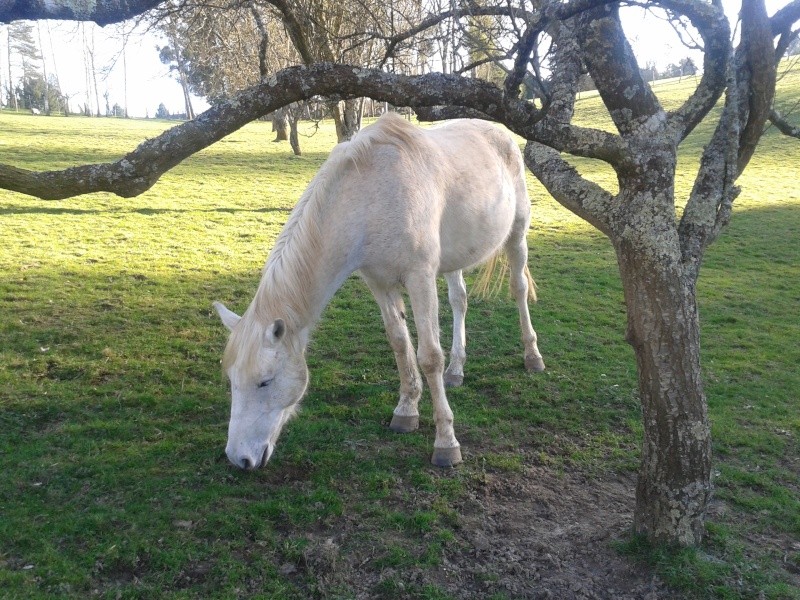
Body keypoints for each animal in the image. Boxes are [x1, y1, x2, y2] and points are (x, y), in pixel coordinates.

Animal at [216, 111, 548, 468]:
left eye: (265, 381)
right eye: (232, 380)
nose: (238, 458)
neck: (370, 198)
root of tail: (498, 131)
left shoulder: (419, 278)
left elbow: (429, 356)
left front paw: (446, 442)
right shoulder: (379, 282)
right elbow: (400, 344)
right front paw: (406, 411)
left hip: (516, 236)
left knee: (518, 289)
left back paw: (532, 356)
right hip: (454, 258)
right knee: (459, 301)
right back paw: (457, 369)